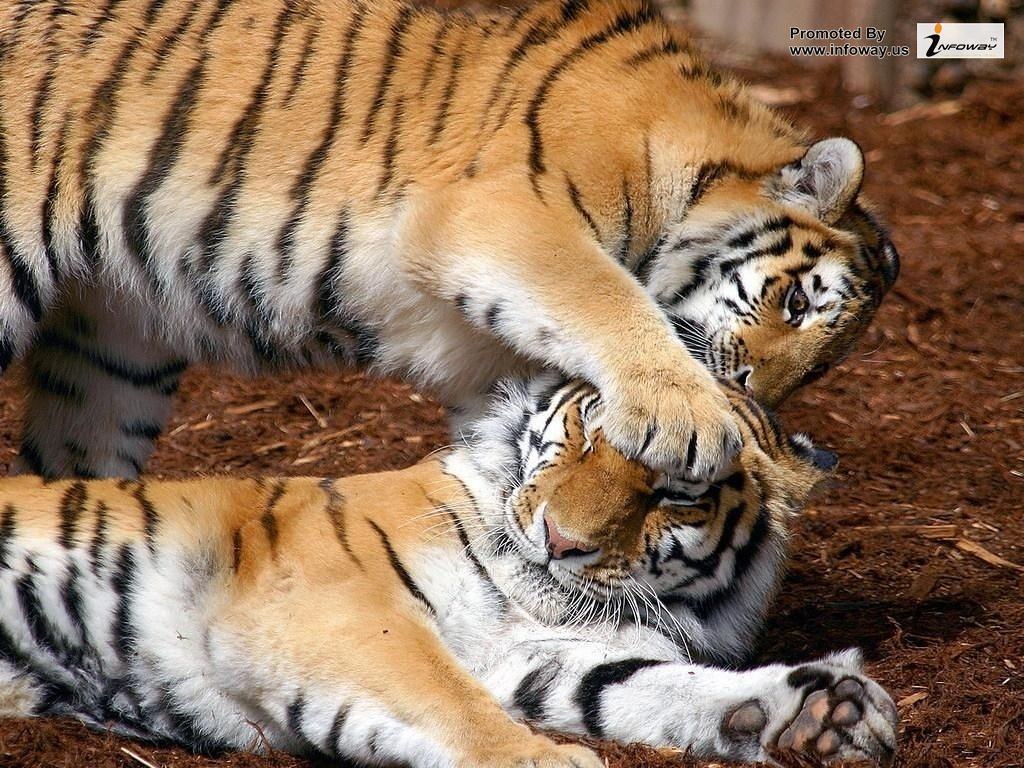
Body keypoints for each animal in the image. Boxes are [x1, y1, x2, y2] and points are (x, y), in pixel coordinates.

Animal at [0, 0, 898, 482]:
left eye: (821, 368)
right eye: (795, 301)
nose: (749, 387)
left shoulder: (494, 363)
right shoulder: (502, 215)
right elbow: (609, 298)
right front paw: (689, 418)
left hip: (116, 342)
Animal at [0, 374, 899, 766]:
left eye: (676, 491)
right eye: (586, 435)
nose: (559, 540)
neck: (526, 602)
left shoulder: (536, 662)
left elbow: (640, 687)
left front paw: (822, 714)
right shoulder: (337, 604)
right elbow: (451, 702)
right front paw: (552, 764)